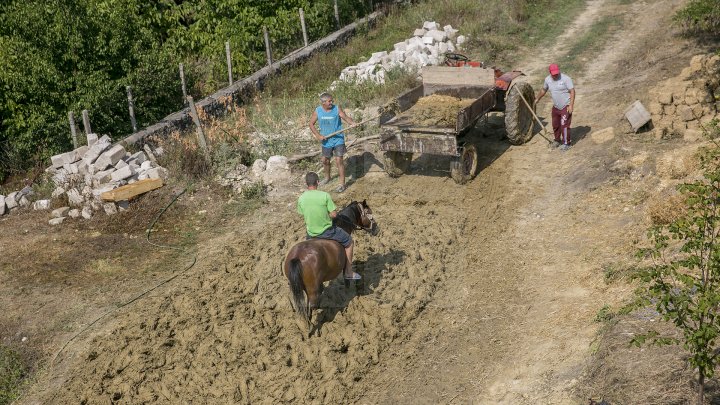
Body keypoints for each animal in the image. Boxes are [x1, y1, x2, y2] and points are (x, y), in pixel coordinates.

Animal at [282, 199, 380, 332]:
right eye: (369, 213)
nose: (377, 229)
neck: (342, 225)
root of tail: (297, 256)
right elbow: (347, 278)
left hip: (299, 287)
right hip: (312, 290)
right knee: (311, 308)